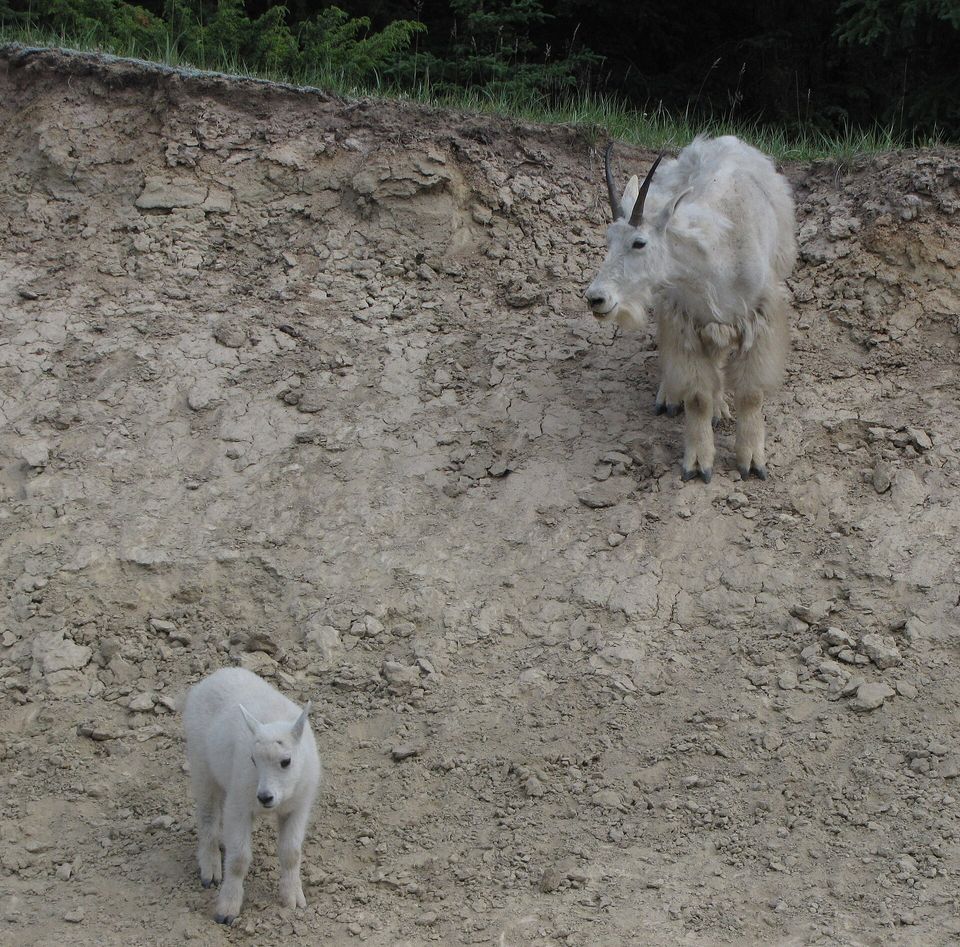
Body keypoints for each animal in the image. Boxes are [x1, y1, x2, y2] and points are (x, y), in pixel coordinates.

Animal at [182, 667, 321, 924]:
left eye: (286, 761)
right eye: (253, 760)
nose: (265, 797)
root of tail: (215, 675)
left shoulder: (298, 807)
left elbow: (291, 852)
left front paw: (293, 898)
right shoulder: (240, 805)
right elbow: (238, 859)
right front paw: (227, 909)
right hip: (201, 765)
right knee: (207, 815)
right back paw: (210, 867)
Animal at [585, 136, 796, 482]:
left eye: (639, 242)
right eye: (609, 239)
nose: (596, 298)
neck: (718, 257)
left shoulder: (758, 317)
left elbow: (751, 394)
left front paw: (752, 461)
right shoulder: (686, 319)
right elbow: (697, 397)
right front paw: (698, 464)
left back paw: (721, 407)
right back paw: (672, 395)